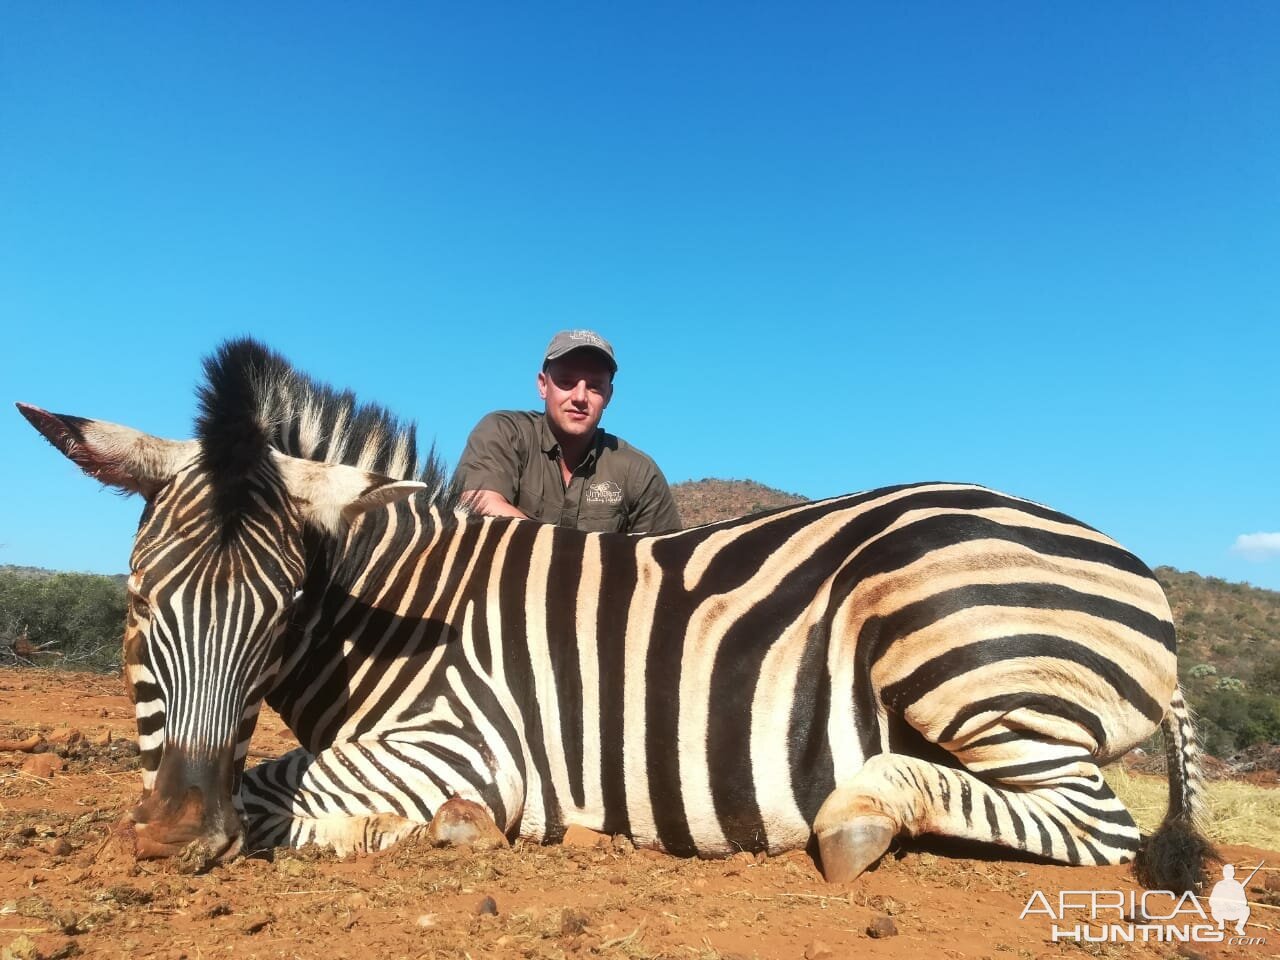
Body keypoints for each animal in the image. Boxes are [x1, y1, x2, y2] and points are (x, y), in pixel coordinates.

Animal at [22, 340, 1218, 896]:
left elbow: (281, 787)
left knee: (1095, 828)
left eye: (279, 618)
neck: (401, 609)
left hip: (960, 656)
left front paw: (436, 825)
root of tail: (1133, 565)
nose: (174, 838)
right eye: (138, 604)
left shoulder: (468, 739)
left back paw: (860, 817)